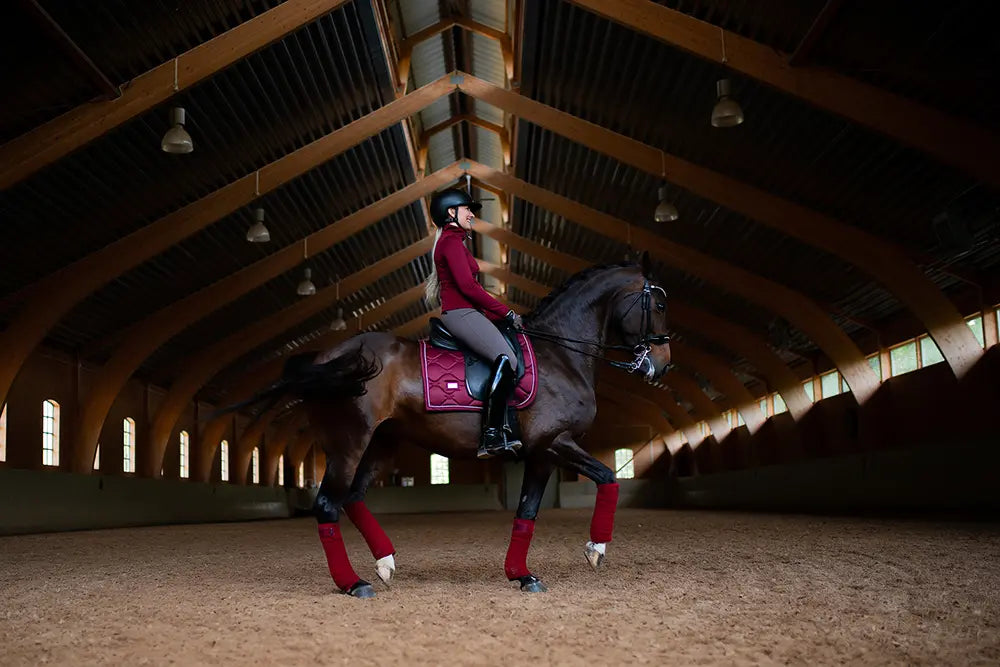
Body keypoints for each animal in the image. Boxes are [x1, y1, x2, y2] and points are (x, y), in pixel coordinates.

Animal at [247, 254, 676, 596]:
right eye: (657, 303)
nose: (662, 365)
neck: (560, 354)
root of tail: (328, 356)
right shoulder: (555, 442)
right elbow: (608, 477)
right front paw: (595, 550)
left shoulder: (542, 455)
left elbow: (527, 512)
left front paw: (521, 575)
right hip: (349, 444)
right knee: (326, 506)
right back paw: (354, 584)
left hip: (382, 442)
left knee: (352, 498)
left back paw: (385, 562)